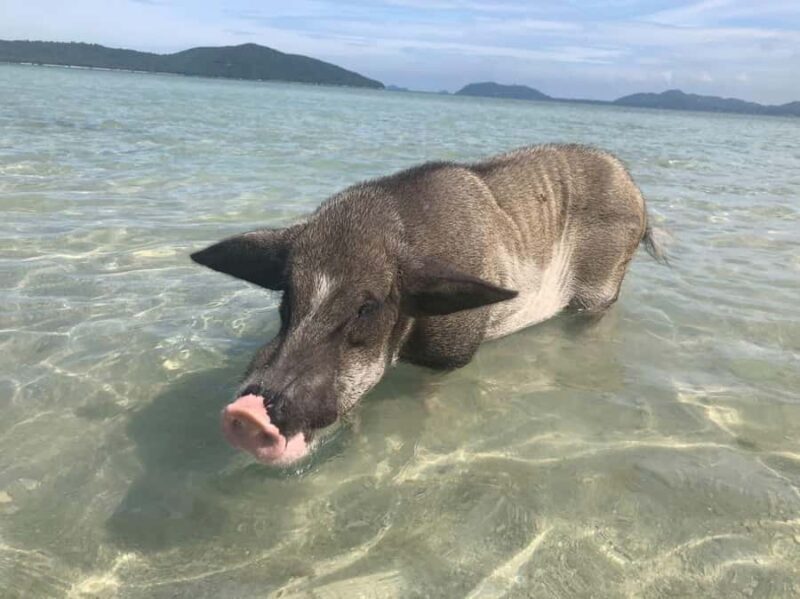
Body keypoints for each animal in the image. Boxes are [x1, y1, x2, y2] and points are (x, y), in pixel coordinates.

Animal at [191, 144, 666, 466]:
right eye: (288, 294)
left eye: (367, 307)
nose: (249, 411)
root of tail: (639, 196)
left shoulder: (454, 349)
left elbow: (431, 390)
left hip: (601, 286)